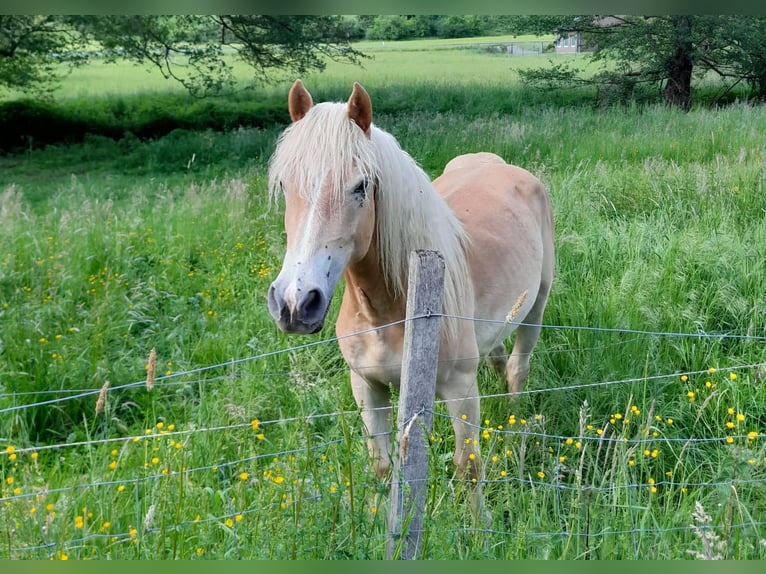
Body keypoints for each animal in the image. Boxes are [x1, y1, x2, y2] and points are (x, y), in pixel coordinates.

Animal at [268, 80, 556, 512]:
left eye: (361, 185)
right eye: (286, 184)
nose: (295, 303)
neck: (387, 311)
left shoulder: (459, 390)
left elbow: (468, 468)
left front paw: (480, 526)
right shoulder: (367, 388)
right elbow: (382, 467)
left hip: (536, 307)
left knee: (518, 369)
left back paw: (515, 432)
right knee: (498, 354)